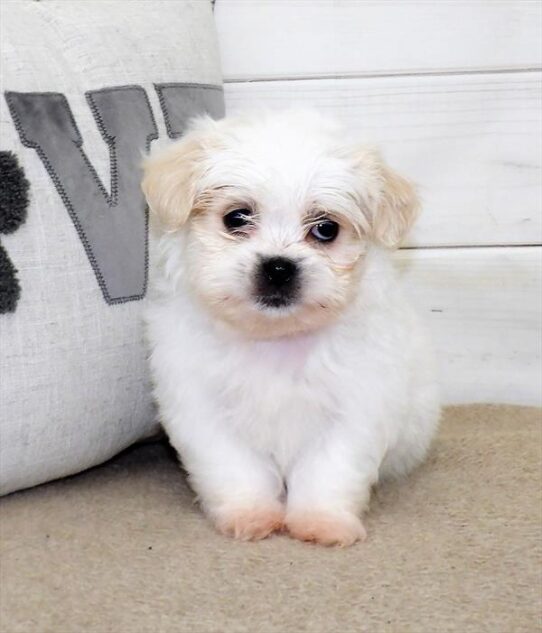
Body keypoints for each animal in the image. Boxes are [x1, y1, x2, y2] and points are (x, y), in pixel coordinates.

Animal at [142, 108, 440, 544]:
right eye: (236, 218)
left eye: (326, 228)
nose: (279, 268)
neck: (276, 338)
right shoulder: (204, 409)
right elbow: (236, 468)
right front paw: (250, 515)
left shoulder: (354, 408)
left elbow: (329, 470)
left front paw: (322, 522)